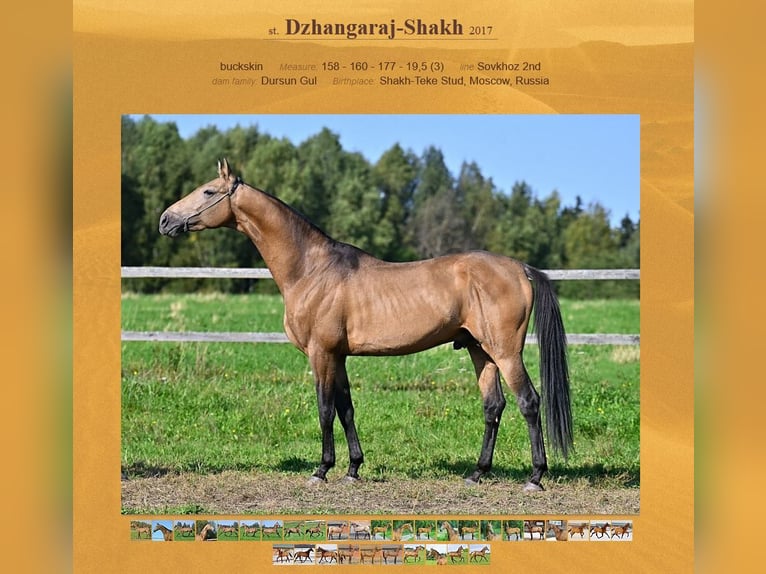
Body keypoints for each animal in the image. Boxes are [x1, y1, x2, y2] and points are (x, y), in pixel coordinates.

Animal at [159, 160, 572, 492]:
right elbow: (346, 409)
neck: (312, 269)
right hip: (478, 350)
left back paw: (535, 477)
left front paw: (321, 470)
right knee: (493, 406)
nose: (165, 220)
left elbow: (325, 409)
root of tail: (520, 268)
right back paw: (477, 473)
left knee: (528, 402)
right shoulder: (338, 356)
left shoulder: (321, 353)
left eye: (208, 191)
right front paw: (353, 469)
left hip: (505, 352)